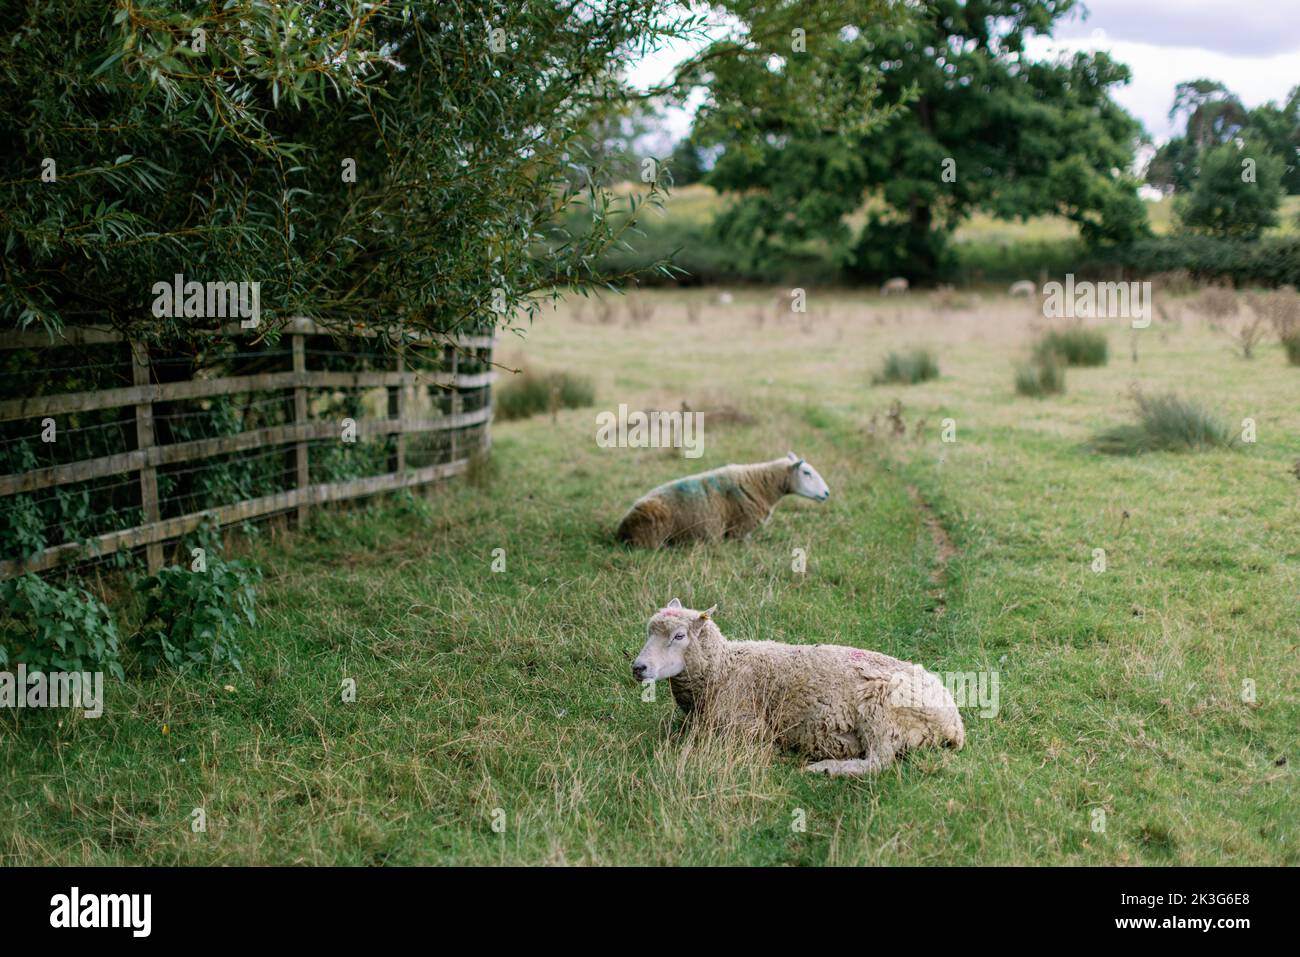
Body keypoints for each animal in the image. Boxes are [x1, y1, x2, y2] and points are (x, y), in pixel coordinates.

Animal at [629, 598, 967, 780]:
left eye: (680, 636)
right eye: (648, 631)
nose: (638, 667)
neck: (724, 668)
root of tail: (955, 725)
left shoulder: (745, 727)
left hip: (881, 712)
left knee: (878, 763)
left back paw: (825, 768)